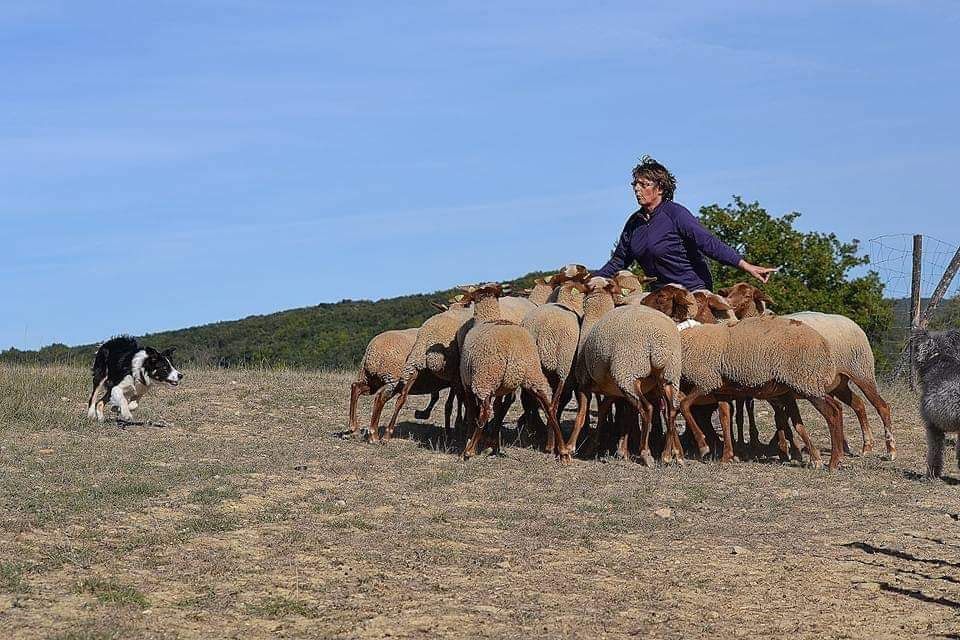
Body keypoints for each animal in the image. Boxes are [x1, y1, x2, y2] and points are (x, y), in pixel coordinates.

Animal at [454, 284, 568, 460]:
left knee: (485, 412)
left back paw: (469, 451)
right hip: (533, 373)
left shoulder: (467, 382)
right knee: (549, 407)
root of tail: (514, 350)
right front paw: (494, 446)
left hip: (485, 377)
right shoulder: (502, 389)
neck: (487, 318)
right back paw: (562, 450)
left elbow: (474, 410)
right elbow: (499, 408)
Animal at [568, 276, 688, 464]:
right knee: (672, 410)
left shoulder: (584, 384)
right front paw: (609, 448)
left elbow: (581, 416)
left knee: (647, 409)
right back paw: (668, 455)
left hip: (628, 372)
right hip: (668, 375)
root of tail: (659, 340)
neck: (593, 320)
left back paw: (646, 453)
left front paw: (569, 448)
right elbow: (613, 415)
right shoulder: (613, 392)